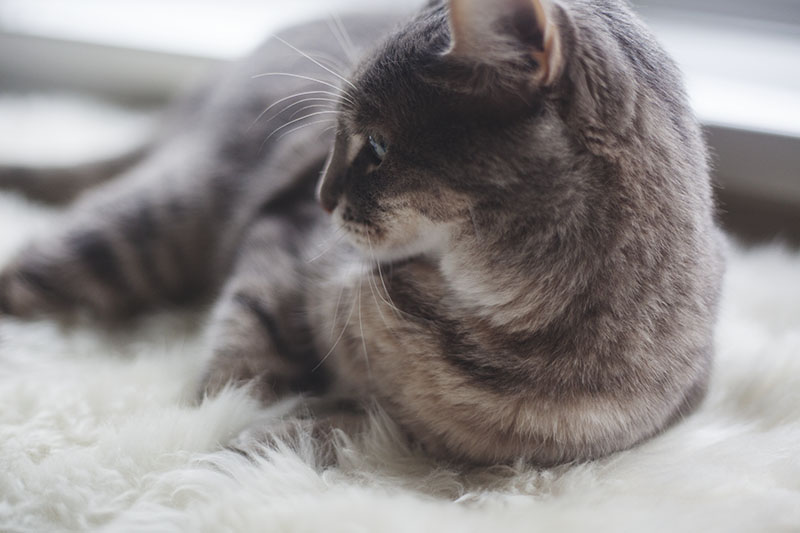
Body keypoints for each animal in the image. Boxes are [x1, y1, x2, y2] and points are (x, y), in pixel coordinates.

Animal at [0, 0, 724, 466]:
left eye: (374, 147)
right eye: (334, 136)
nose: (321, 198)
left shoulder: (421, 434)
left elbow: (333, 424)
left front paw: (252, 441)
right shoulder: (280, 242)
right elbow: (246, 355)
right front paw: (218, 419)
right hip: (153, 226)